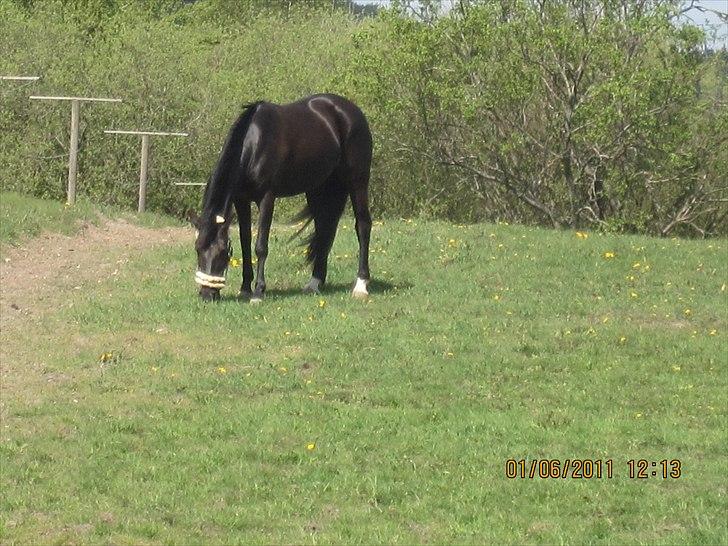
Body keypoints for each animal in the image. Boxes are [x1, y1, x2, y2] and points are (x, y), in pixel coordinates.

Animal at [191, 95, 372, 304]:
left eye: (222, 252)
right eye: (198, 249)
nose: (206, 294)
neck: (254, 143)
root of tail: (351, 110)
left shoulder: (266, 198)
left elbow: (260, 246)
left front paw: (258, 292)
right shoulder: (241, 200)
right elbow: (245, 241)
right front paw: (245, 288)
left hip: (357, 181)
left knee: (363, 226)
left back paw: (361, 285)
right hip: (318, 187)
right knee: (324, 230)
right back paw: (314, 282)